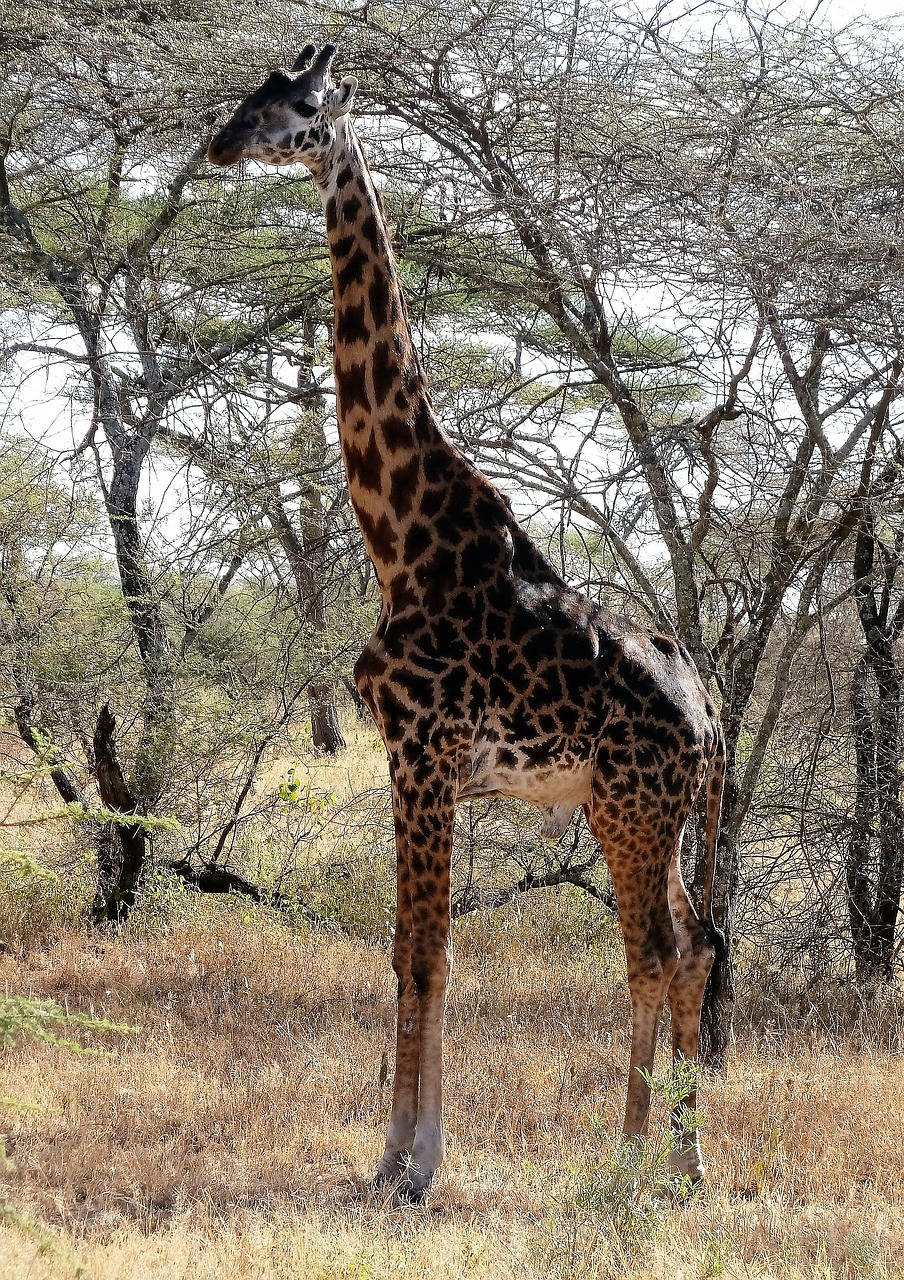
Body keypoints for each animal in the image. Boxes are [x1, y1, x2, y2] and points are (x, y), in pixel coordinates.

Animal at [207, 40, 722, 1198]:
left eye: (300, 106)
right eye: (251, 94)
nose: (218, 142)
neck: (401, 538)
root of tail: (712, 723)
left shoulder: (424, 751)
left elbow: (430, 952)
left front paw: (412, 1163)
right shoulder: (415, 760)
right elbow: (408, 948)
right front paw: (393, 1156)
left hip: (629, 808)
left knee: (655, 951)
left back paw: (631, 1156)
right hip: (650, 814)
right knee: (697, 946)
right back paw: (683, 1160)